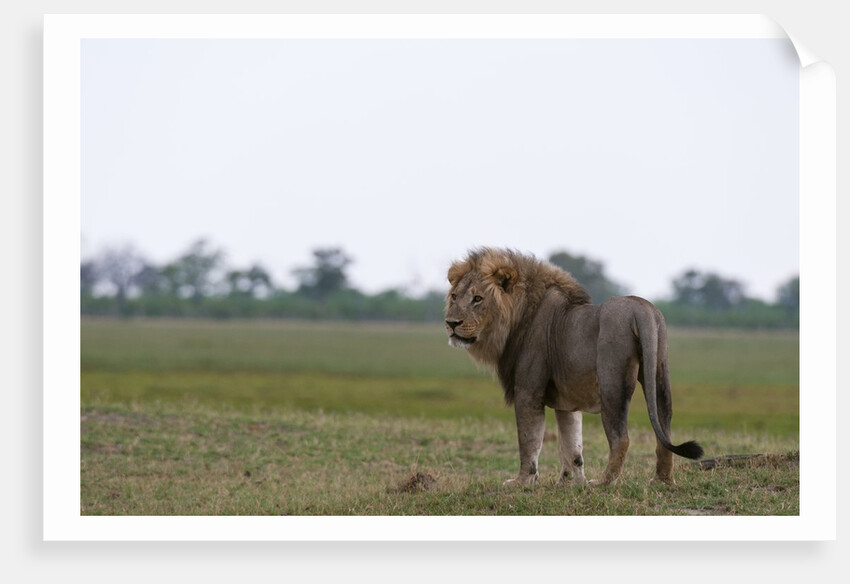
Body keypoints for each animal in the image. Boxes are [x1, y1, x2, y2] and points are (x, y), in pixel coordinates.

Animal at [445, 247, 703, 486]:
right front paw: (569, 483)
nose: (451, 323)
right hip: (659, 372)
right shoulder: (566, 400)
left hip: (611, 382)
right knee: (664, 429)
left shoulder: (528, 391)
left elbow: (529, 441)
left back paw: (602, 483)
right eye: (455, 297)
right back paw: (662, 481)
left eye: (478, 299)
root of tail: (642, 309)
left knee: (621, 438)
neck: (515, 320)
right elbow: (571, 444)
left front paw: (522, 482)